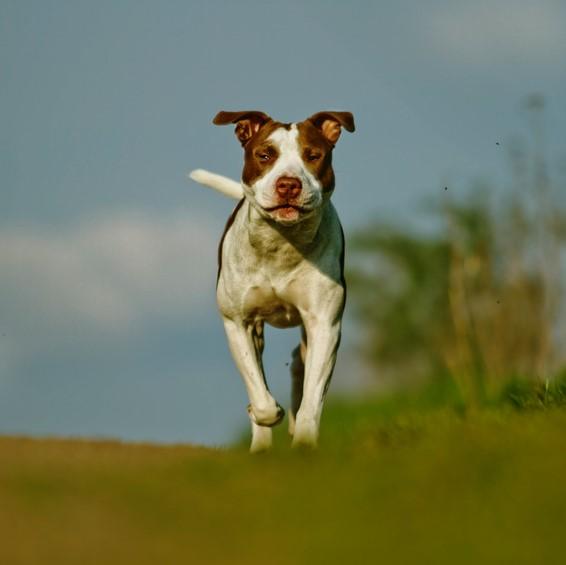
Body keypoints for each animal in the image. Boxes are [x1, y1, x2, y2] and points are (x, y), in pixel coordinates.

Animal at [191, 112, 356, 452]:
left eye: (313, 155)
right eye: (265, 154)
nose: (288, 185)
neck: (281, 243)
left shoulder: (325, 323)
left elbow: (312, 397)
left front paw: (304, 441)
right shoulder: (238, 322)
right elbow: (260, 393)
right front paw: (265, 413)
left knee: (300, 362)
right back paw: (261, 446)